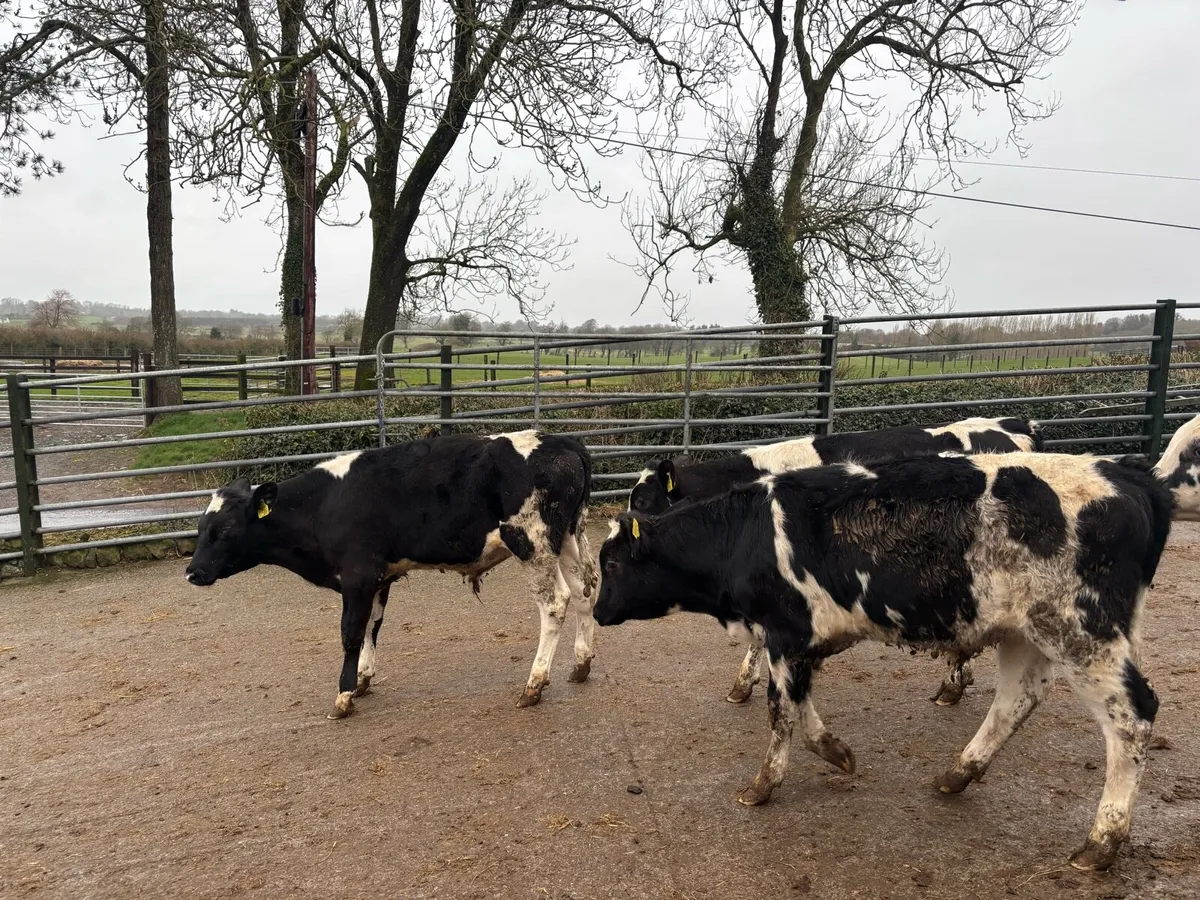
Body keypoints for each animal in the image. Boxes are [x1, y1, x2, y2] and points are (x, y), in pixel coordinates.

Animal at [184, 430, 599, 718]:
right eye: (202, 527)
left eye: (223, 530)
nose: (192, 572)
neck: (324, 505)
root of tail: (563, 442)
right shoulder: (378, 578)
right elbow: (373, 625)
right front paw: (363, 679)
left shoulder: (357, 575)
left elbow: (351, 632)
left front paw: (344, 695)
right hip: (567, 540)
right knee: (584, 591)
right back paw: (580, 664)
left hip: (531, 544)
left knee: (555, 603)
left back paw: (534, 684)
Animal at [594, 451, 1172, 871]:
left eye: (614, 563)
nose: (597, 612)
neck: (745, 534)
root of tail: (1131, 479)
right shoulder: (801, 643)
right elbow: (800, 708)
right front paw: (837, 753)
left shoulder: (784, 633)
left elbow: (781, 713)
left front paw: (762, 786)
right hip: (1027, 633)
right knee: (1015, 702)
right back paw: (959, 772)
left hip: (1085, 635)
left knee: (1133, 717)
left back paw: (1103, 841)